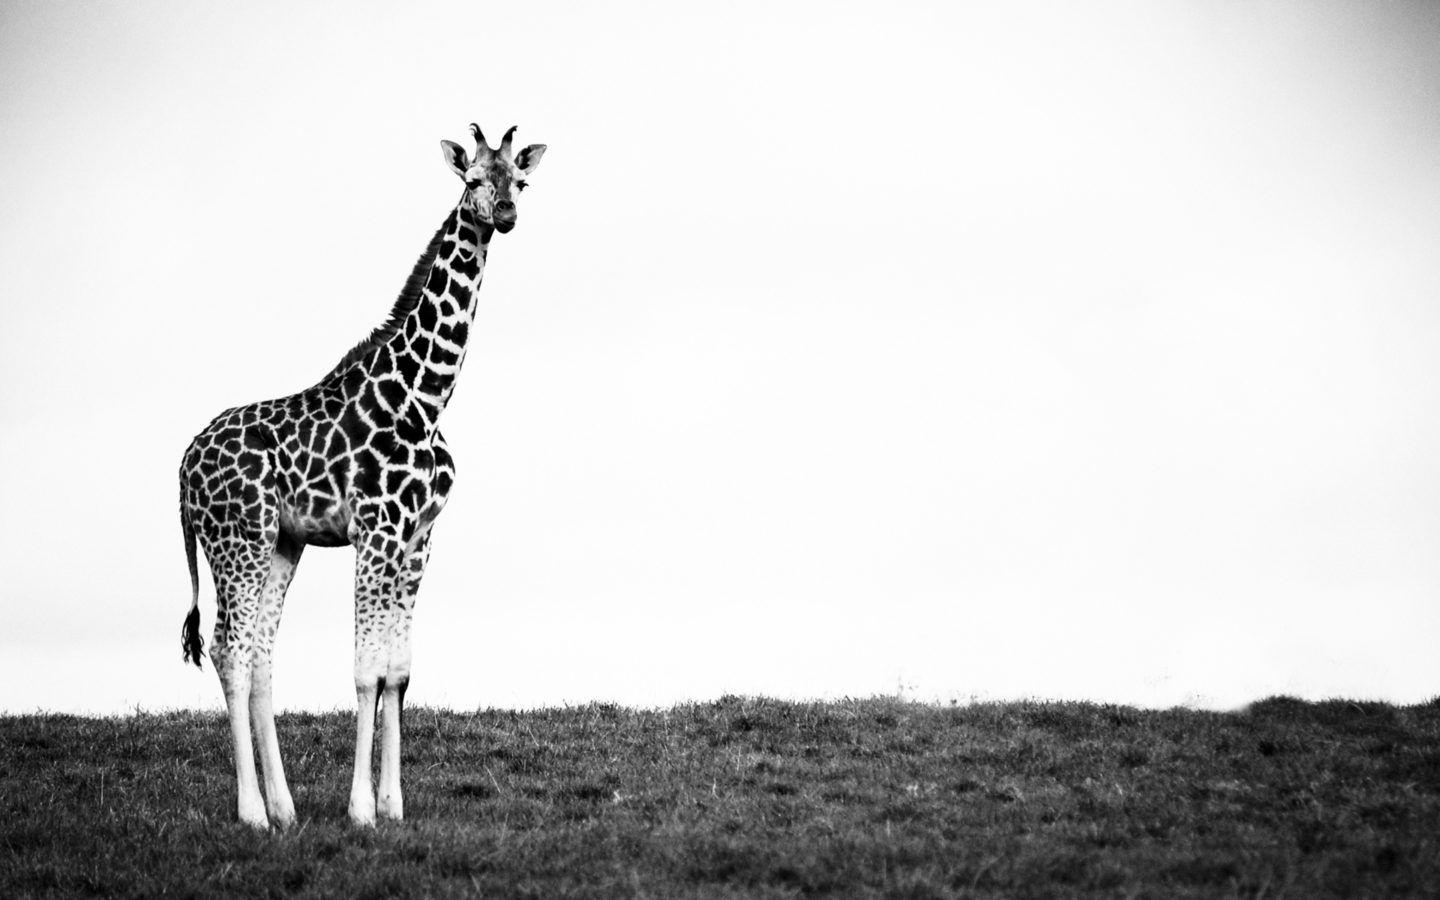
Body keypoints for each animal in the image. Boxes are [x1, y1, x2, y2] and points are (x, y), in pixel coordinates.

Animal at [177, 123, 546, 829]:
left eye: (520, 179)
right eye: (472, 180)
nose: (507, 215)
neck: (425, 396)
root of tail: (181, 470)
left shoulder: (419, 535)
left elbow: (398, 671)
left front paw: (393, 805)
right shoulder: (376, 530)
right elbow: (365, 669)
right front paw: (360, 810)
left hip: (279, 544)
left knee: (260, 652)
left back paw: (285, 809)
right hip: (237, 539)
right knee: (229, 650)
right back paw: (252, 812)